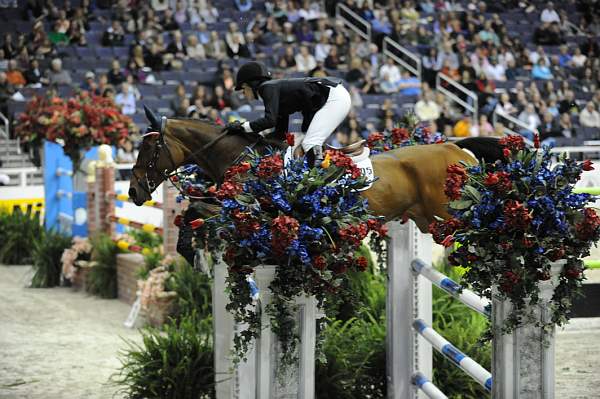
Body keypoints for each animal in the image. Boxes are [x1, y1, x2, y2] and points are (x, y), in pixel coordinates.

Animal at [130, 108, 502, 233]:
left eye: (148, 150)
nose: (134, 191)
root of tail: (457, 148)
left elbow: (202, 211)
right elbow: (198, 209)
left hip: (450, 214)